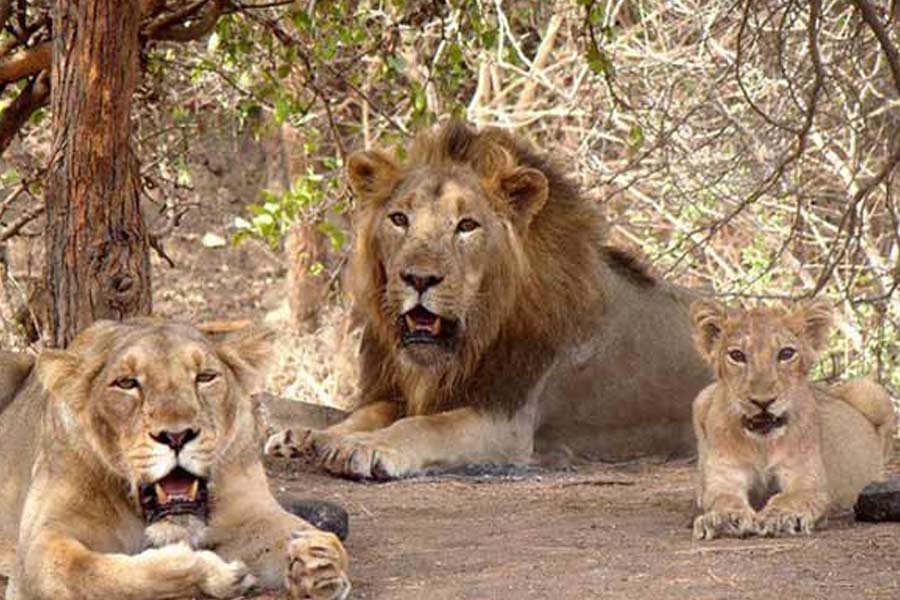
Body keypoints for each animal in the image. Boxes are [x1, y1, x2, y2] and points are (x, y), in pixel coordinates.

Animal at [0, 319, 350, 599]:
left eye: (205, 377)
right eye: (126, 383)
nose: (177, 435)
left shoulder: (250, 512)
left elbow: (298, 533)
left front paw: (320, 561)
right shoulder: (38, 548)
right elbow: (89, 574)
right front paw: (214, 574)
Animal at [265, 120, 711, 480]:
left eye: (467, 226)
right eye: (399, 219)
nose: (419, 278)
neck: (471, 339)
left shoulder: (506, 422)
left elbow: (426, 427)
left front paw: (364, 446)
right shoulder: (404, 391)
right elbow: (366, 413)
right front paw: (315, 436)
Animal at [690, 298, 896, 540]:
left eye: (786, 353)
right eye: (737, 356)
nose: (763, 401)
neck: (762, 444)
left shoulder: (807, 480)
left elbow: (789, 498)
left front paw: (782, 518)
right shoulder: (724, 478)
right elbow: (723, 498)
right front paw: (723, 518)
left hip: (870, 390)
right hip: (702, 397)